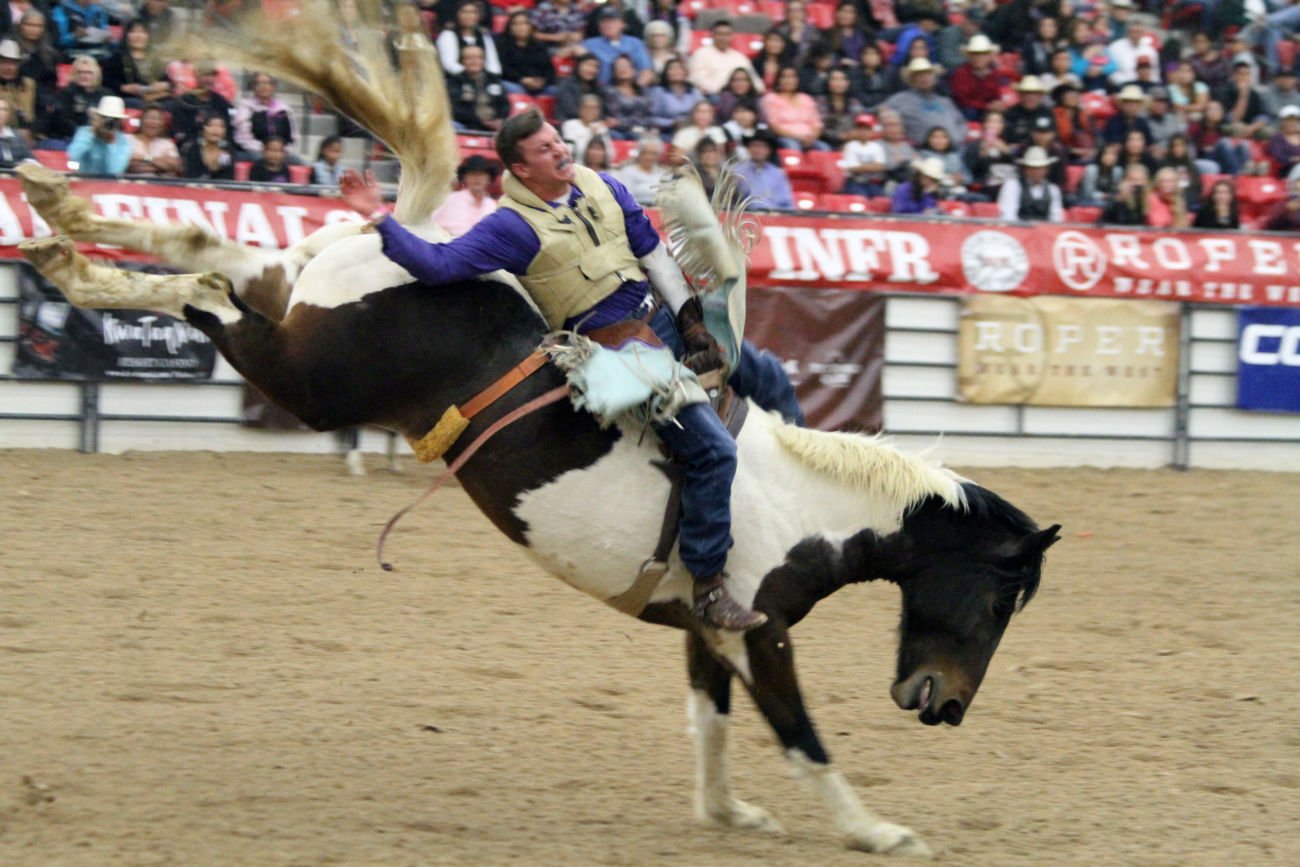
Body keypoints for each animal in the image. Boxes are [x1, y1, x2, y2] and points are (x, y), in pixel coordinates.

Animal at [15, 3, 1060, 857]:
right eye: (999, 597)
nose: (947, 706)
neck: (804, 500)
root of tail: (414, 248)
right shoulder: (759, 629)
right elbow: (799, 733)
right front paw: (876, 829)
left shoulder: (704, 623)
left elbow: (712, 719)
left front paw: (728, 811)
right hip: (314, 375)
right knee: (212, 281)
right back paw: (66, 229)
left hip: (304, 319)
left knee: (216, 265)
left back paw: (61, 229)